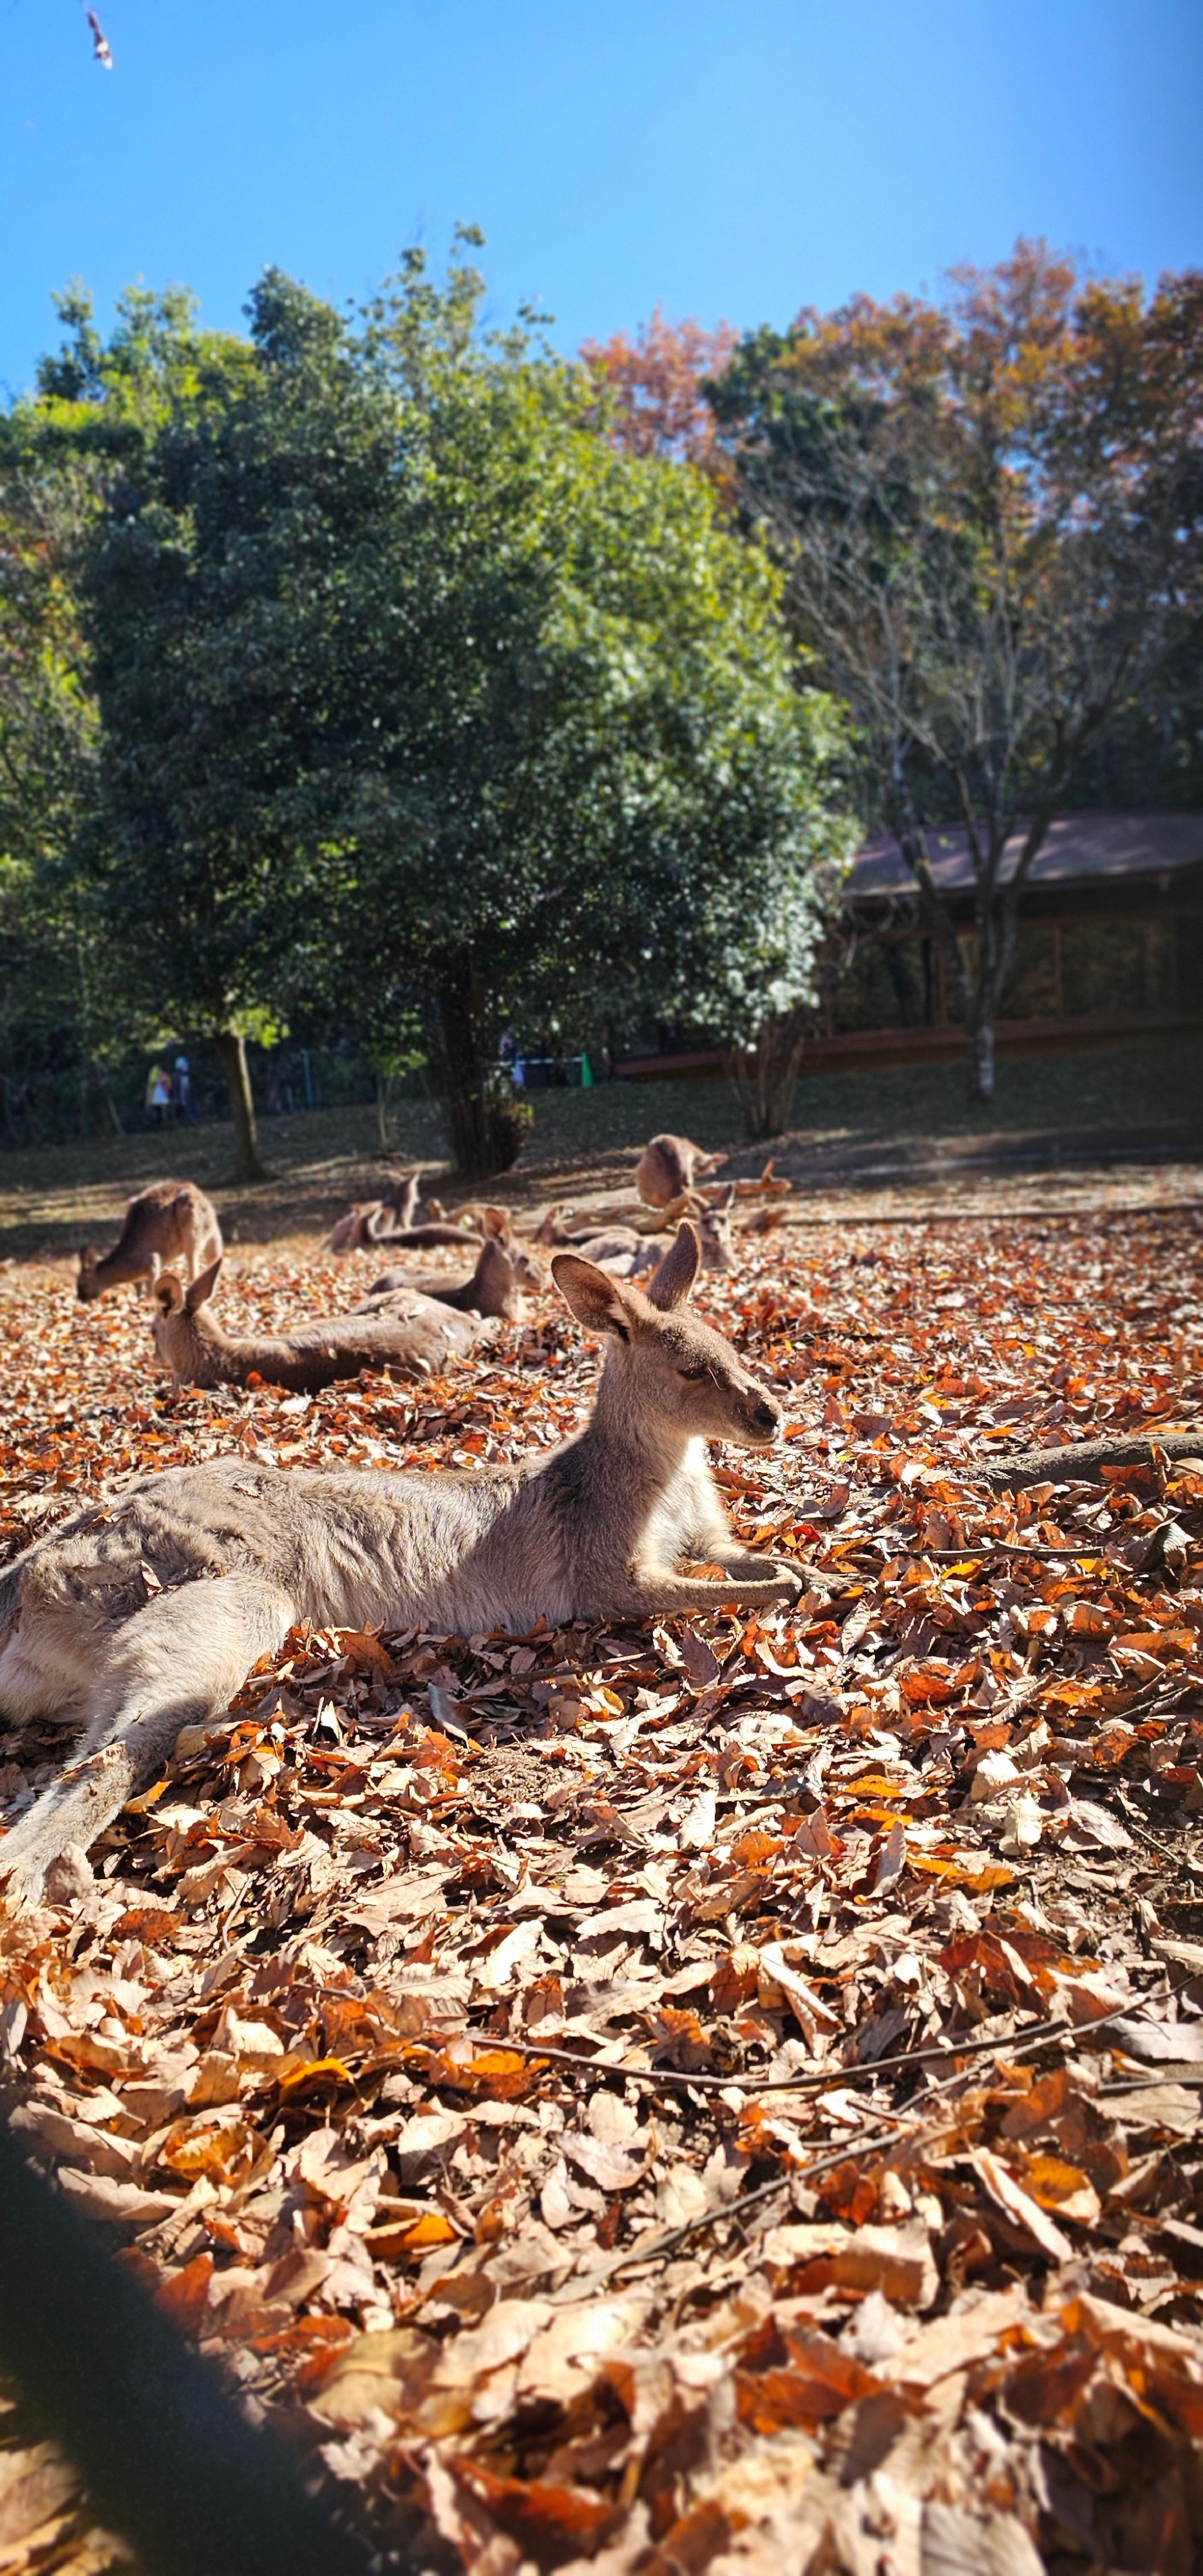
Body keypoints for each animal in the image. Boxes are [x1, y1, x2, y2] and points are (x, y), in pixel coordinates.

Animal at [76, 1182, 222, 1303]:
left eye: (82, 1286)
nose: (81, 1300)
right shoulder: (140, 1276)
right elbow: (139, 1290)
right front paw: (139, 1302)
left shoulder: (152, 1261)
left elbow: (152, 1288)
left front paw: (149, 1303)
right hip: (132, 1202)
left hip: (190, 1219)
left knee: (193, 1261)